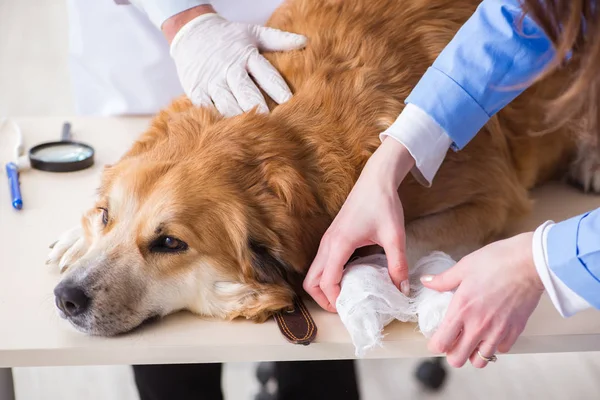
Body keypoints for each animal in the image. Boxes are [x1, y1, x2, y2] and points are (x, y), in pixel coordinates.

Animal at [49, 0, 592, 336]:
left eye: (169, 243)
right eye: (106, 216)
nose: (65, 298)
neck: (287, 139)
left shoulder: (492, 196)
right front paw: (76, 238)